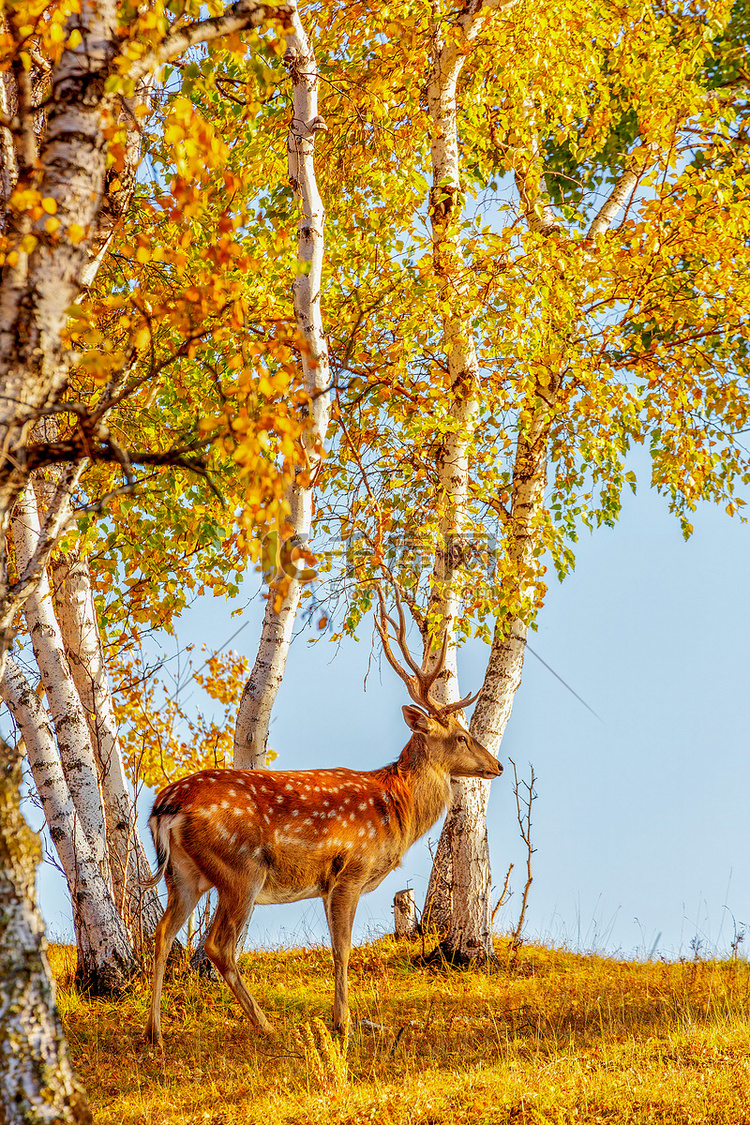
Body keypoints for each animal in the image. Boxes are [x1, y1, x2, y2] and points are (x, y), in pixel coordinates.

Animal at [143, 607, 501, 1044]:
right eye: (463, 737)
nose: (498, 765)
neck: (395, 807)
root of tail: (165, 805)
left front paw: (342, 1018)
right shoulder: (351, 869)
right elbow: (341, 948)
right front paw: (341, 1022)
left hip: (183, 873)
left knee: (162, 933)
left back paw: (155, 1032)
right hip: (241, 869)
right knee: (218, 945)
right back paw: (266, 1026)